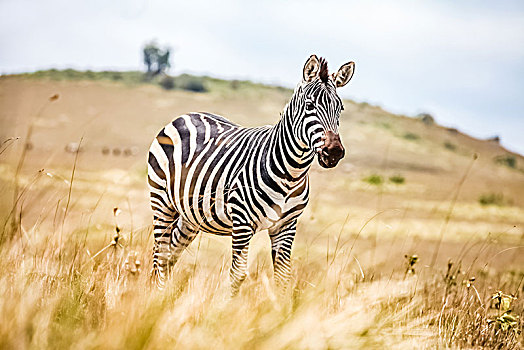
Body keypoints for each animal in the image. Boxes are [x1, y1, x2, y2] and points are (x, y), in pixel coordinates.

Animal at [145, 54, 354, 294]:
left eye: (340, 109)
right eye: (310, 106)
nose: (334, 152)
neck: (292, 173)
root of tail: (186, 115)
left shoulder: (286, 226)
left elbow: (282, 278)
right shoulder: (242, 221)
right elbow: (238, 275)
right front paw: (226, 305)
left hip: (191, 215)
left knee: (170, 254)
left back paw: (161, 298)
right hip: (161, 200)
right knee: (160, 255)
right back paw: (157, 296)